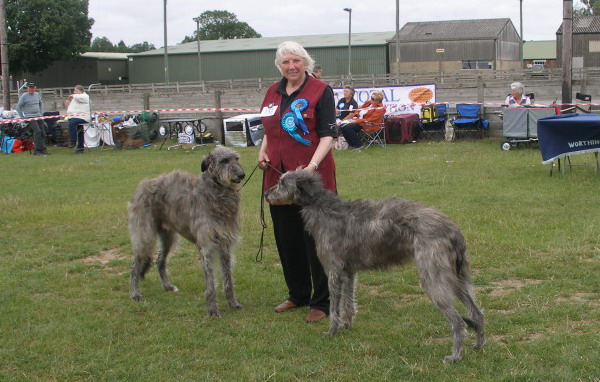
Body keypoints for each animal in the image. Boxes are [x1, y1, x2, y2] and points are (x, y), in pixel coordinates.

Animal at [130, 146, 245, 316]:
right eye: (224, 161)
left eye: (236, 159)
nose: (241, 175)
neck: (217, 193)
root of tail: (143, 185)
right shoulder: (207, 245)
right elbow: (210, 283)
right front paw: (212, 310)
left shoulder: (225, 243)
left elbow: (228, 278)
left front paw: (233, 303)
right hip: (145, 234)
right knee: (135, 265)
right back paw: (135, 293)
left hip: (168, 237)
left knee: (160, 261)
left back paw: (167, 286)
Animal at [264, 171, 486, 364]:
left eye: (282, 183)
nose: (266, 193)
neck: (323, 209)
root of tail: (453, 229)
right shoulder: (349, 271)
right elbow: (348, 302)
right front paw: (347, 325)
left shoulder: (333, 272)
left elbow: (335, 307)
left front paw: (332, 331)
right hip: (456, 278)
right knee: (477, 313)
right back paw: (479, 345)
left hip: (433, 278)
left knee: (458, 322)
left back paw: (455, 356)